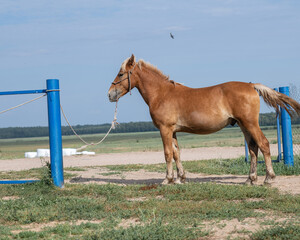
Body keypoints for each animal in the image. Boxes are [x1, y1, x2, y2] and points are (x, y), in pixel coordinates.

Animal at [109, 54, 300, 186]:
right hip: (243, 125)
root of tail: (251, 85)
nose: (110, 94)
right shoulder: (173, 131)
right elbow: (177, 153)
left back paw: (268, 178)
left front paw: (167, 179)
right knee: (253, 148)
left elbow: (167, 153)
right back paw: (250, 179)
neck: (162, 94)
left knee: (264, 144)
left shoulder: (165, 129)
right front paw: (180, 178)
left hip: (250, 123)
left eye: (121, 74)